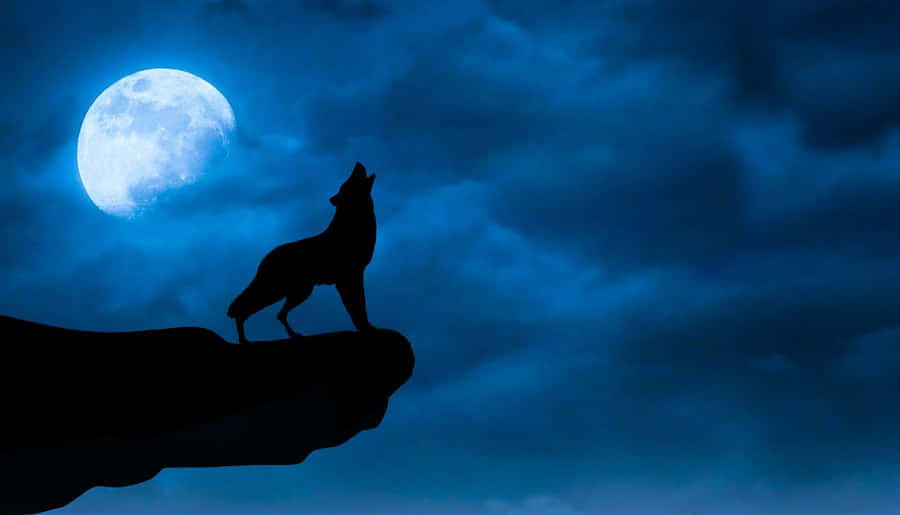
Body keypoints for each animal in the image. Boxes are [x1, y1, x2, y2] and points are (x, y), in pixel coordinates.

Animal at [227, 162, 377, 344]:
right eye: (348, 181)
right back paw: (243, 340)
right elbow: (357, 307)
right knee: (245, 309)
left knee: (279, 314)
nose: (357, 163)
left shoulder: (353, 276)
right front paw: (365, 328)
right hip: (278, 291)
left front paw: (366, 327)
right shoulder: (349, 277)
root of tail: (265, 258)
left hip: (299, 292)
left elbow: (359, 306)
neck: (354, 222)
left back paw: (293, 335)